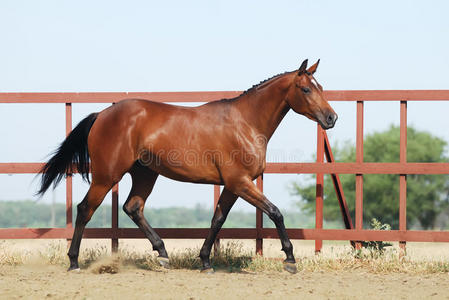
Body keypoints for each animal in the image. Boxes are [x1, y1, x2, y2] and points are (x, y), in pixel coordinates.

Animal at [36, 58, 336, 274]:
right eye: (306, 89)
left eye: (321, 87)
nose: (331, 118)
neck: (245, 123)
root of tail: (102, 115)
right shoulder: (240, 182)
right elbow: (275, 212)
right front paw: (290, 259)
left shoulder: (232, 185)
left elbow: (217, 219)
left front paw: (205, 262)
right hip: (107, 175)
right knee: (85, 209)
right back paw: (74, 262)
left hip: (145, 174)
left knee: (133, 207)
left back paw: (163, 255)